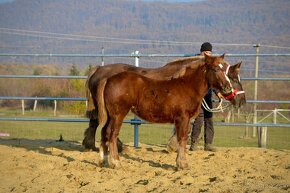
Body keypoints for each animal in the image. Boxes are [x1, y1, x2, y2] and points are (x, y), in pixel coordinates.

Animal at [97, 54, 240, 169]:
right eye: (216, 69)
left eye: (225, 70)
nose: (228, 88)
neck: (187, 86)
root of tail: (108, 79)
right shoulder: (183, 118)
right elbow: (182, 138)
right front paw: (182, 164)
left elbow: (181, 138)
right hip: (118, 115)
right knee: (112, 134)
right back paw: (116, 162)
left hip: (110, 116)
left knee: (104, 132)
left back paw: (104, 161)